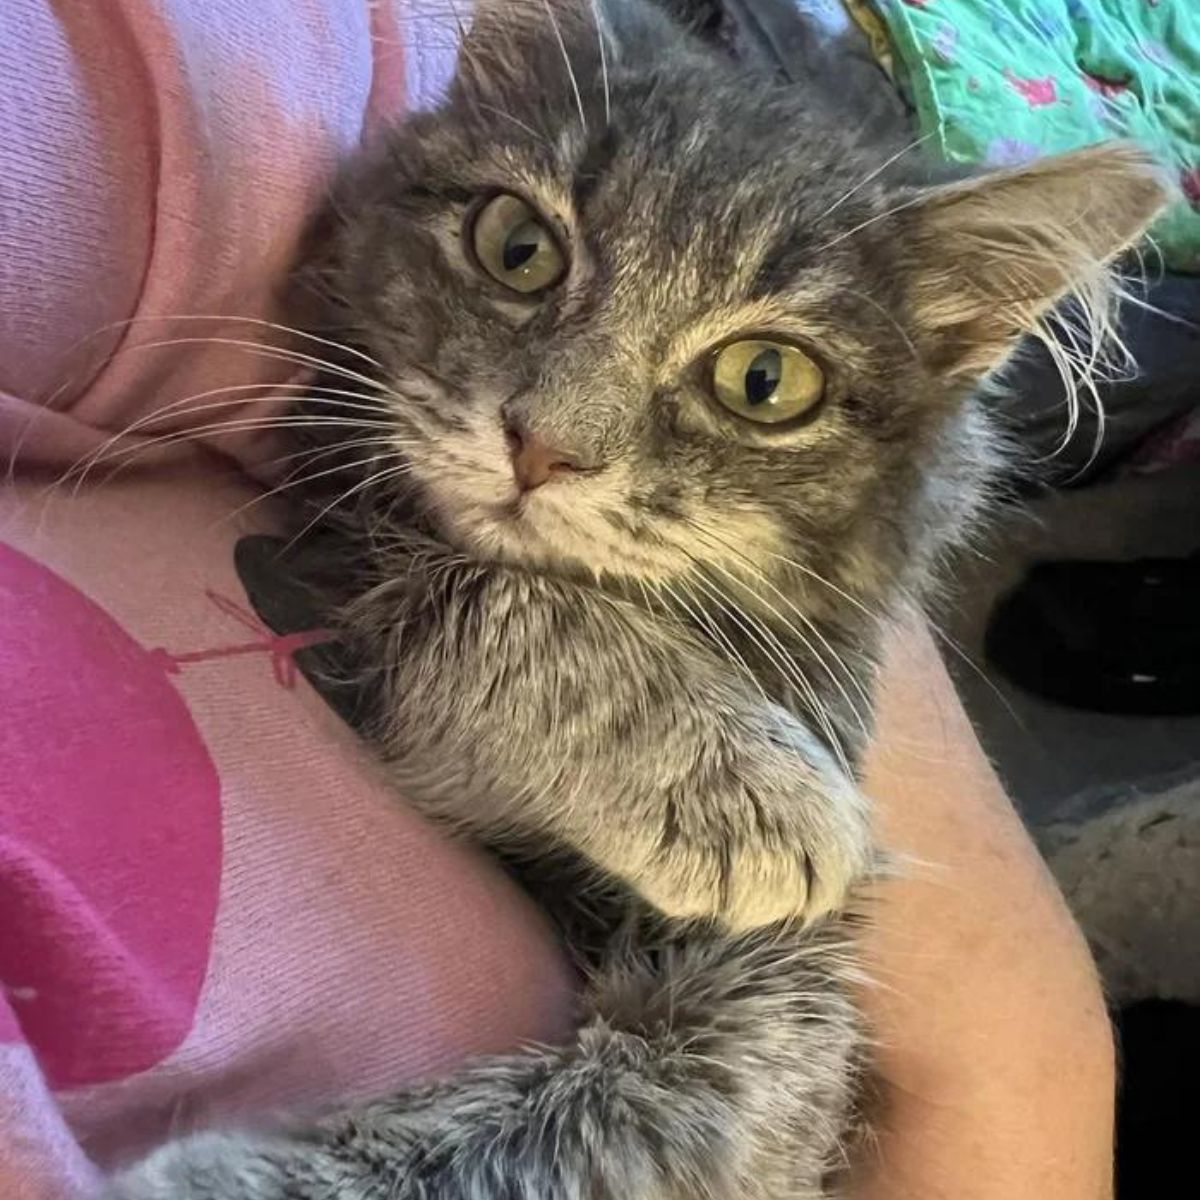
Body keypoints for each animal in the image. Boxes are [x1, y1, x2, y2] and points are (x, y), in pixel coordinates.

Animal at [110, 0, 1161, 1195]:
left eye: (765, 381)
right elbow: (497, 597)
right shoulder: (323, 545)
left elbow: (637, 1121)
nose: (542, 447)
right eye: (518, 248)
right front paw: (746, 785)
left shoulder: (783, 993)